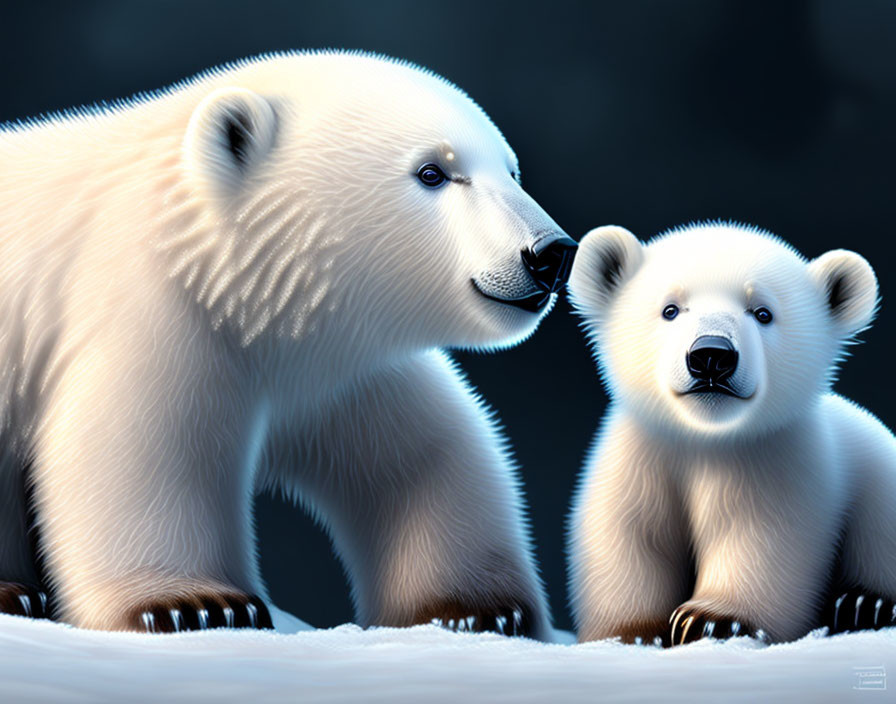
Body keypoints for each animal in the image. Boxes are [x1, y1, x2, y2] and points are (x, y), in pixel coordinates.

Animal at [0, 51, 576, 640]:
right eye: (432, 172)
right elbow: (137, 447)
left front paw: (479, 609)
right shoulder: (149, 312)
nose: (551, 253)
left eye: (511, 170)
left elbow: (425, 454)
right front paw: (193, 604)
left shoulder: (335, 360)